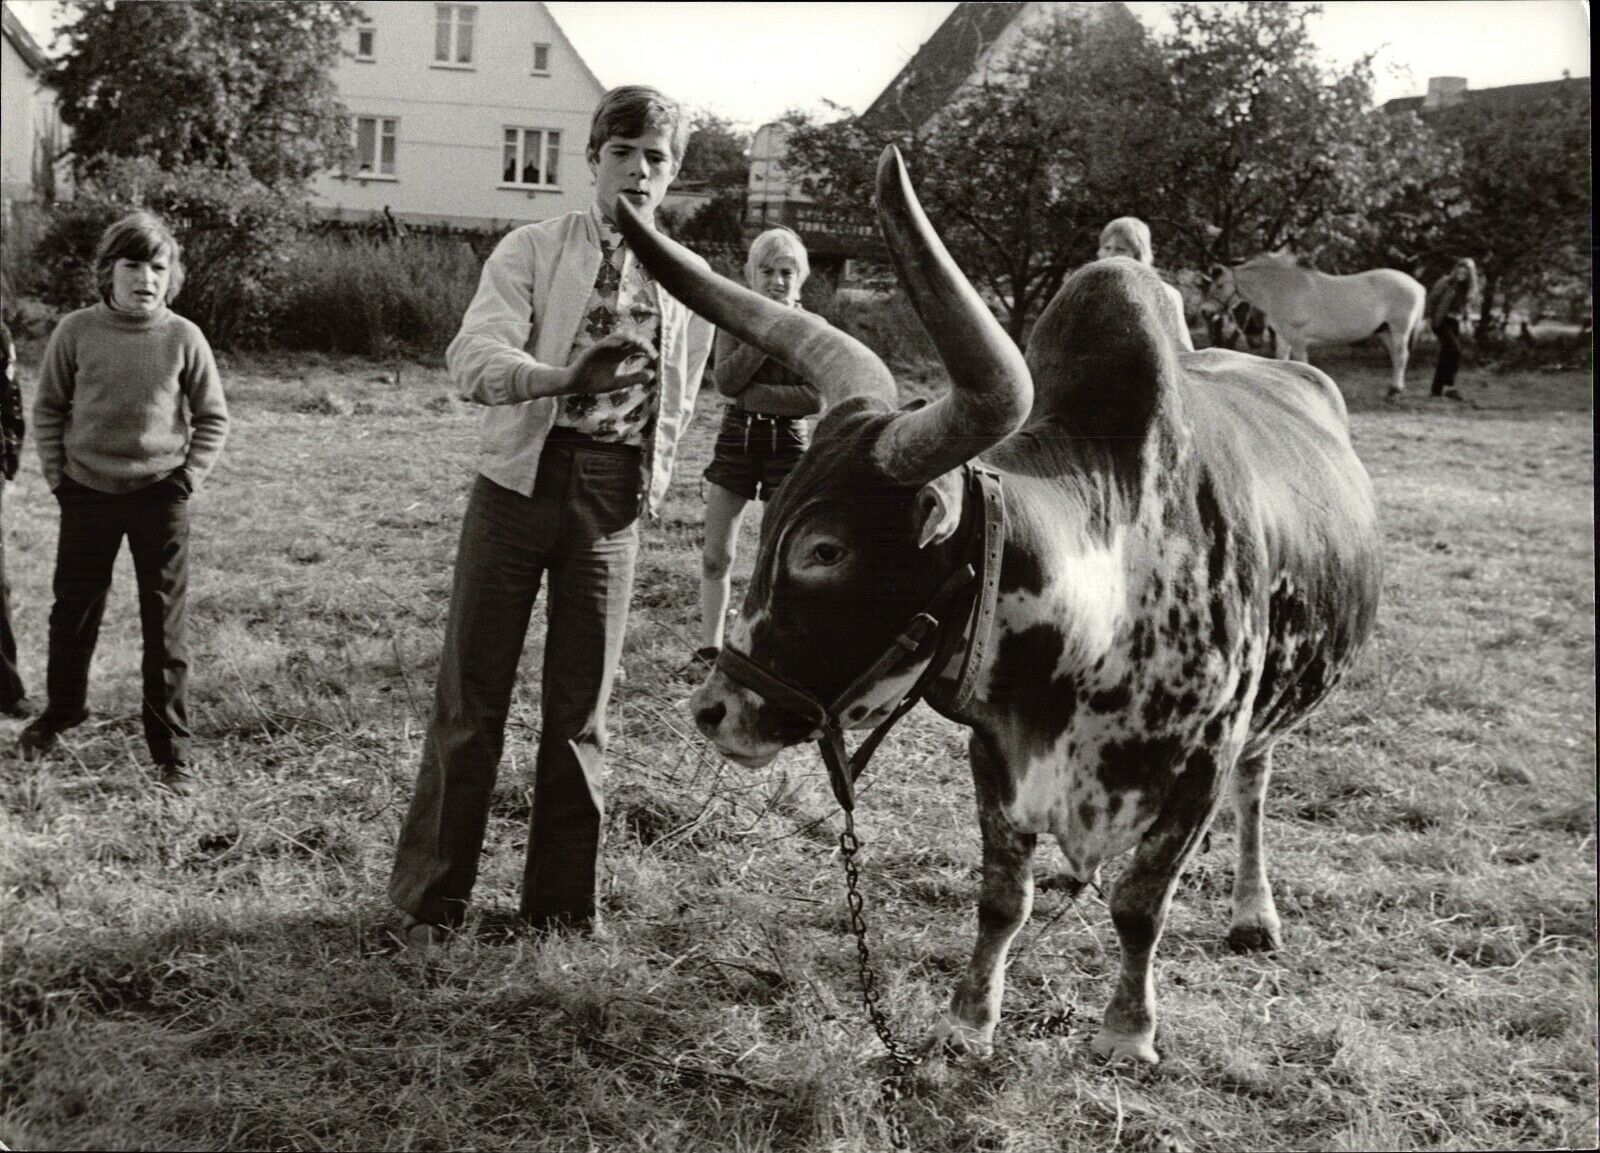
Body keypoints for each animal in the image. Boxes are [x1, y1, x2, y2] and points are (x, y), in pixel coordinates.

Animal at [1203, 252, 1433, 396]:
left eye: (1220, 285)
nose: (1206, 312)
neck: (1280, 288)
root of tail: (1417, 285)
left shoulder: (1297, 338)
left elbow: (1302, 363)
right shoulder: (1283, 337)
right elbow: (1282, 360)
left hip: (1399, 330)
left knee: (1401, 356)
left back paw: (1394, 391)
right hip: (1385, 331)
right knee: (1395, 356)